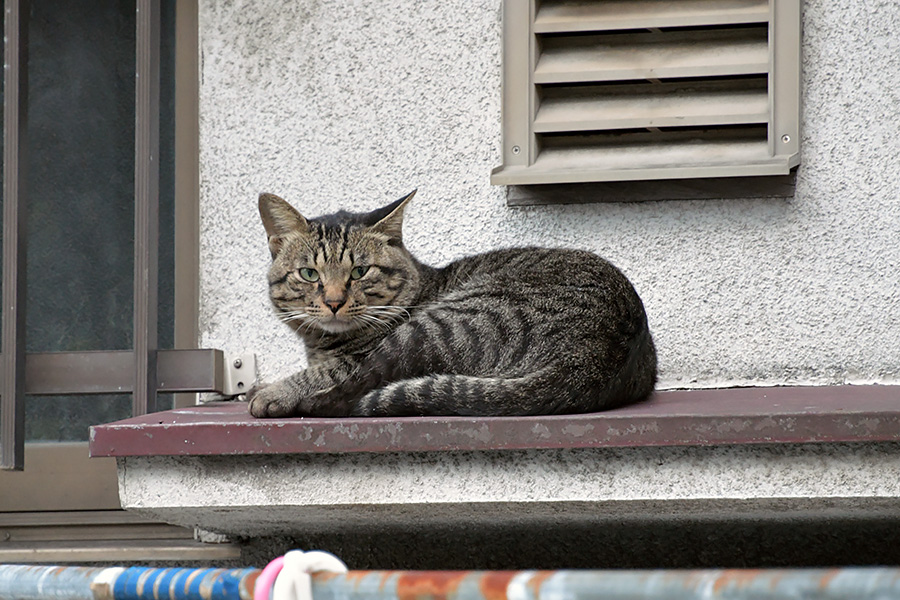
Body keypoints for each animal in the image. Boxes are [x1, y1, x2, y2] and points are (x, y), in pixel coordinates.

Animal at [246, 192, 652, 418]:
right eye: (309, 274)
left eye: (360, 272)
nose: (333, 301)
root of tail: (595, 358)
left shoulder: (356, 356)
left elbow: (324, 373)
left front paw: (271, 391)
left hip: (434, 327)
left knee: (354, 391)